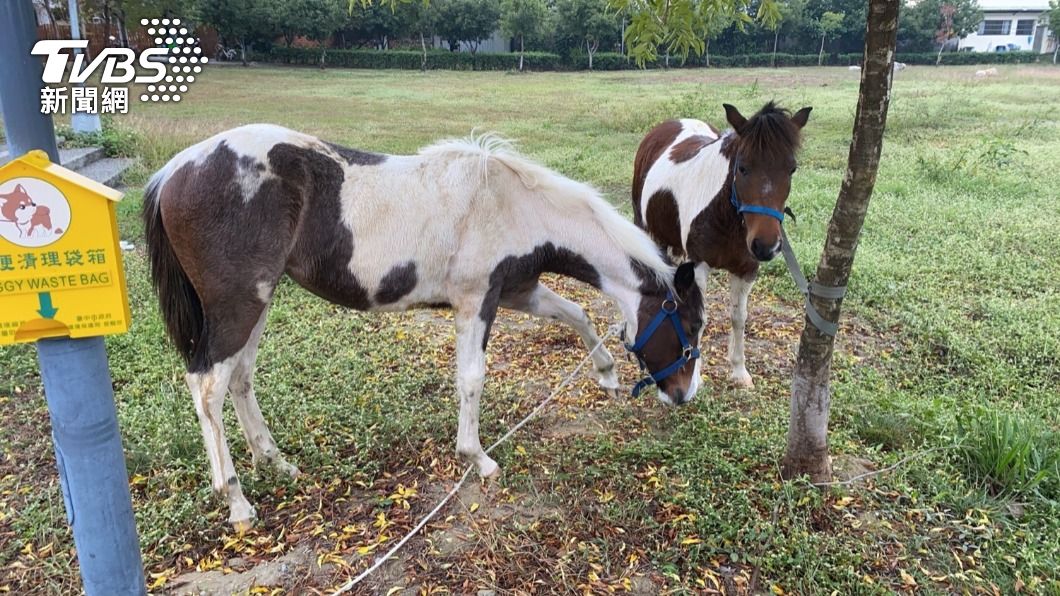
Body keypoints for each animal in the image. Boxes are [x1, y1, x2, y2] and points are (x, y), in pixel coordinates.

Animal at [143, 124, 705, 529]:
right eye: (691, 326)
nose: (682, 396)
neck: (513, 204)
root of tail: (174, 171)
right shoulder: (476, 301)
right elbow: (472, 379)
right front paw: (477, 458)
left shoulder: (518, 290)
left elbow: (578, 314)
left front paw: (606, 373)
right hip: (238, 305)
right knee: (208, 387)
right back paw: (236, 502)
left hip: (257, 304)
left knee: (239, 379)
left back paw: (276, 463)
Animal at [632, 102, 811, 388]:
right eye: (743, 168)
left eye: (791, 169)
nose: (766, 246)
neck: (725, 217)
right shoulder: (699, 265)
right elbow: (700, 317)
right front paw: (695, 375)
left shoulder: (746, 270)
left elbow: (739, 317)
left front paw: (739, 371)